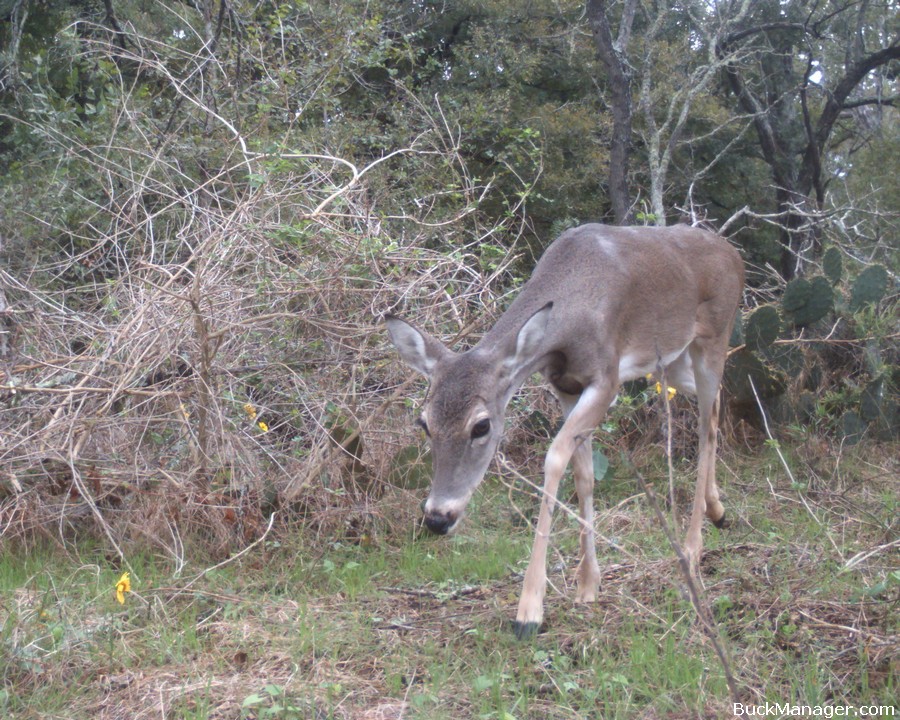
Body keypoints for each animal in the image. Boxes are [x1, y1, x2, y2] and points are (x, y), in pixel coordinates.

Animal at [386, 224, 744, 636]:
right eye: (424, 422)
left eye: (481, 425)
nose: (437, 518)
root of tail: (734, 253)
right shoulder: (566, 386)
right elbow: (583, 473)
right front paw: (588, 584)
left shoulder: (605, 377)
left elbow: (556, 457)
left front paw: (529, 610)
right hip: (671, 361)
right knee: (713, 406)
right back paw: (718, 510)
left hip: (714, 337)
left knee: (706, 426)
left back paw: (692, 548)